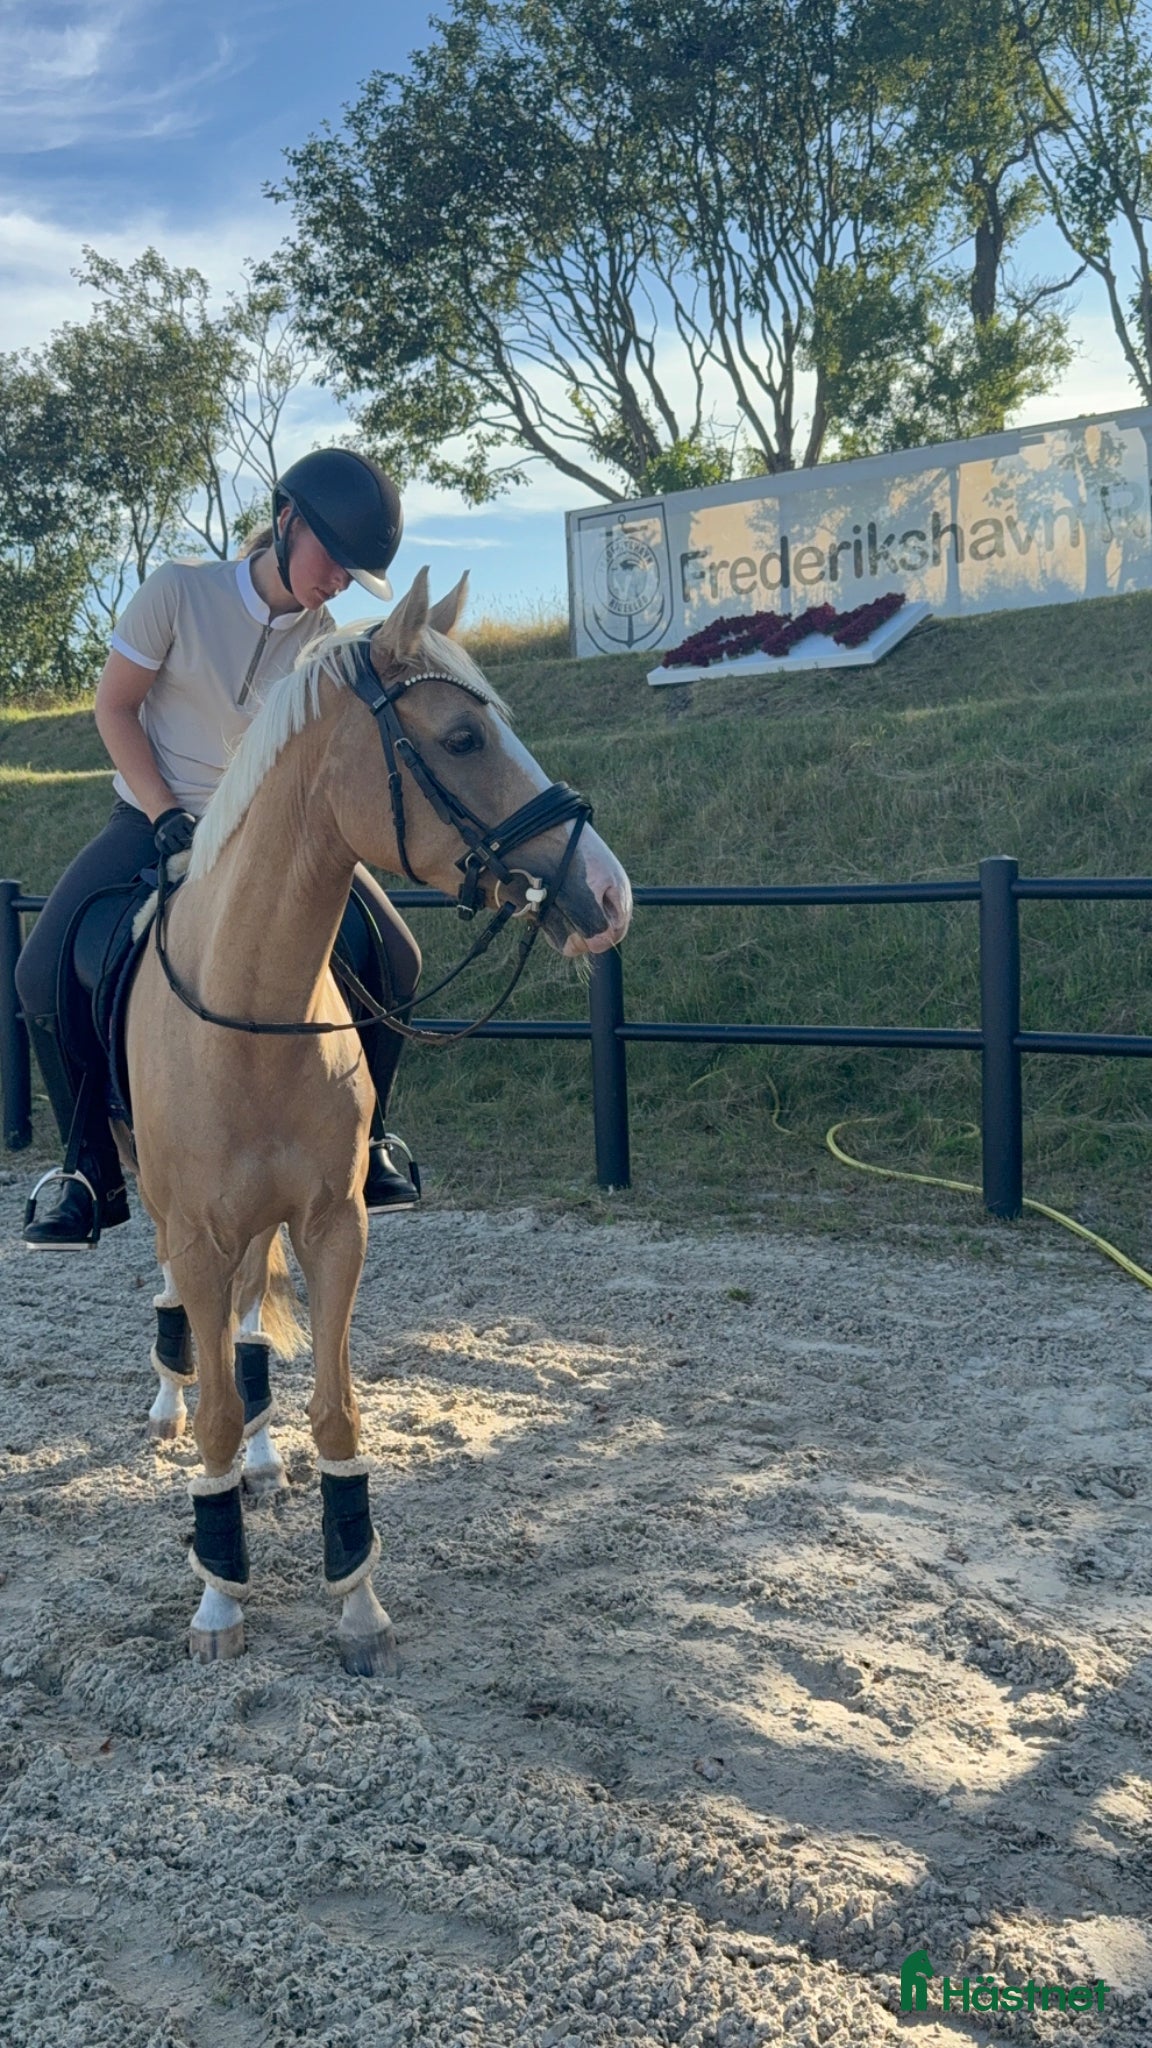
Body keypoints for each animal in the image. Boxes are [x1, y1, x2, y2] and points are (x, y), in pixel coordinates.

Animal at [120, 567, 632, 1673]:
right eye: (462, 739)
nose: (609, 894)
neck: (253, 1003)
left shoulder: (332, 1225)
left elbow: (335, 1410)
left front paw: (355, 1600)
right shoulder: (196, 1228)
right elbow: (215, 1407)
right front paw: (218, 1600)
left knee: (247, 1329)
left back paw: (265, 1457)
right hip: (163, 1206)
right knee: (189, 1323)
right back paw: (170, 1403)